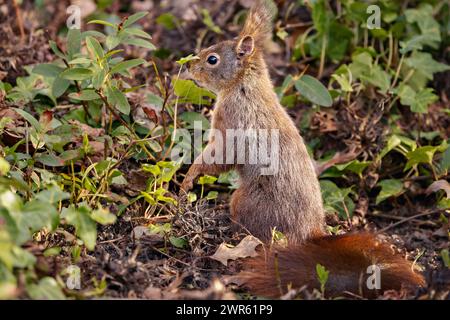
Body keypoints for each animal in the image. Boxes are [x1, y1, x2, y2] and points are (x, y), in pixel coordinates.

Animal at [178, 0, 422, 298]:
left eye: (212, 59)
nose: (189, 66)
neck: (243, 85)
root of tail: (311, 232)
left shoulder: (232, 124)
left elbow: (219, 158)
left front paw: (188, 180)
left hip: (247, 203)